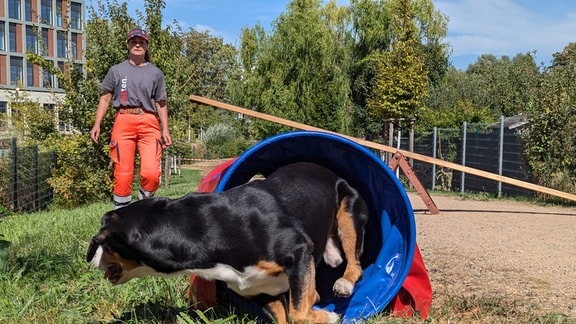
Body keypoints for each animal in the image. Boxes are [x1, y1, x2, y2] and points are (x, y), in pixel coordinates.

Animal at [84, 162, 368, 324]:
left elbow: (300, 314)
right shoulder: (259, 291)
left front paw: (329, 315)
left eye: (104, 245)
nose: (92, 259)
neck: (208, 231)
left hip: (349, 211)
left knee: (356, 264)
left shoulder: (298, 251)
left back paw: (344, 282)